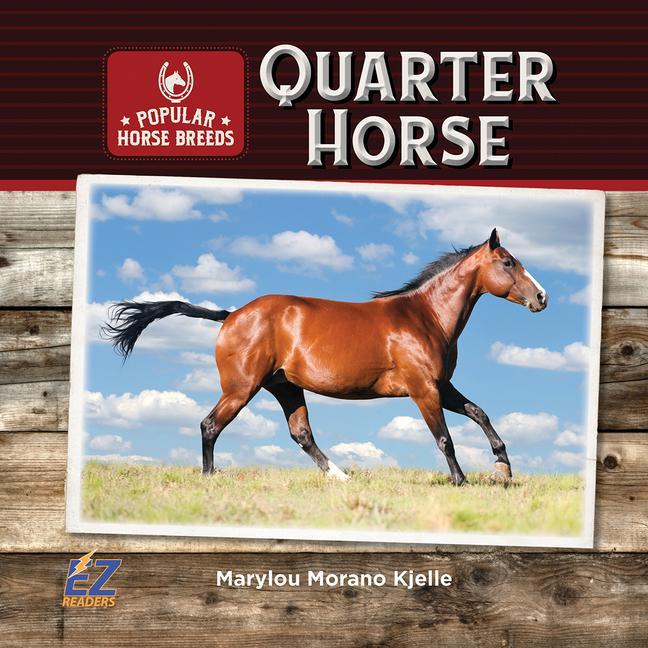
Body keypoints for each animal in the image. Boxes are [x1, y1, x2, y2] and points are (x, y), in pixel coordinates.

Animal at [103, 228, 547, 486]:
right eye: (508, 262)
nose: (542, 297)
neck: (425, 316)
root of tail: (231, 315)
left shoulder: (442, 385)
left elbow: (480, 413)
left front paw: (503, 468)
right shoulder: (423, 389)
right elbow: (445, 438)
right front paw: (461, 481)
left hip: (285, 388)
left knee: (301, 434)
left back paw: (341, 476)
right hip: (241, 388)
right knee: (210, 425)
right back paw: (210, 478)